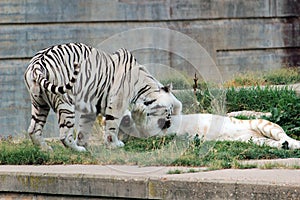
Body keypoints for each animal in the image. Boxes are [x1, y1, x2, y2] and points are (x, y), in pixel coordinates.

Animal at [23, 43, 182, 151]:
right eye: (169, 110)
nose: (168, 124)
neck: (143, 86)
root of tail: (37, 63)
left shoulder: (91, 108)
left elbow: (84, 128)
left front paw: (84, 142)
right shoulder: (117, 103)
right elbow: (113, 125)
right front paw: (114, 145)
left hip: (39, 103)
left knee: (33, 129)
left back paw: (45, 149)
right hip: (65, 102)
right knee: (64, 135)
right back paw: (78, 150)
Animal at [118, 104, 300, 150]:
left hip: (261, 124)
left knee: (282, 134)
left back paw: (292, 143)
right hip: (251, 139)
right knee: (271, 142)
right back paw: (284, 146)